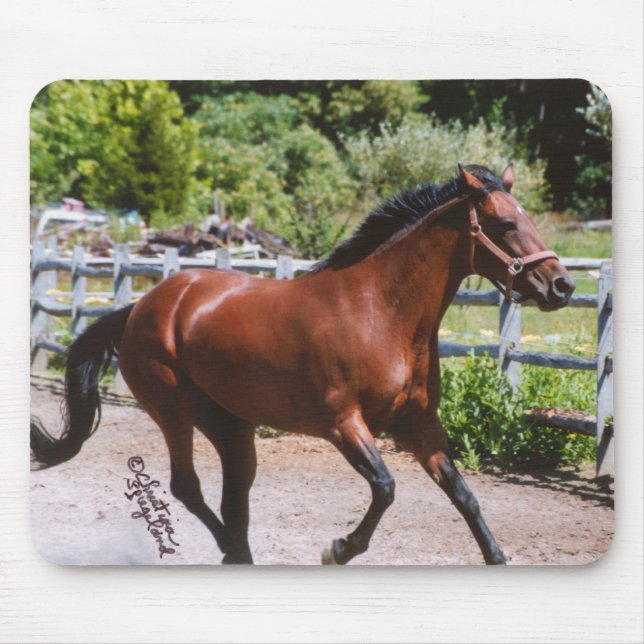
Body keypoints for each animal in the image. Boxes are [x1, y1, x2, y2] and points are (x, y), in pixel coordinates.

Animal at [31, 164, 575, 565]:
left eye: (530, 219)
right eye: (507, 225)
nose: (562, 286)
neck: (381, 310)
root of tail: (142, 308)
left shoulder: (418, 423)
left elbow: (463, 494)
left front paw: (496, 557)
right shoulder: (343, 424)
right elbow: (385, 487)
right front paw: (339, 549)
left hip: (230, 425)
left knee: (234, 493)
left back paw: (238, 553)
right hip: (173, 411)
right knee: (188, 486)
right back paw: (233, 551)